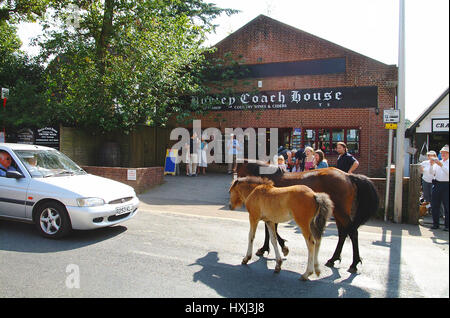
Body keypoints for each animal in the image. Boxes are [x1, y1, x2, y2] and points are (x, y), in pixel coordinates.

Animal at [236, 159, 380, 274]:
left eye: (238, 172)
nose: (235, 182)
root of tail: (348, 175)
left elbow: (271, 231)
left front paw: (272, 248)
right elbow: (271, 231)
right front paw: (275, 247)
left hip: (341, 212)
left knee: (352, 232)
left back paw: (354, 263)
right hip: (338, 212)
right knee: (343, 233)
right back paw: (333, 259)